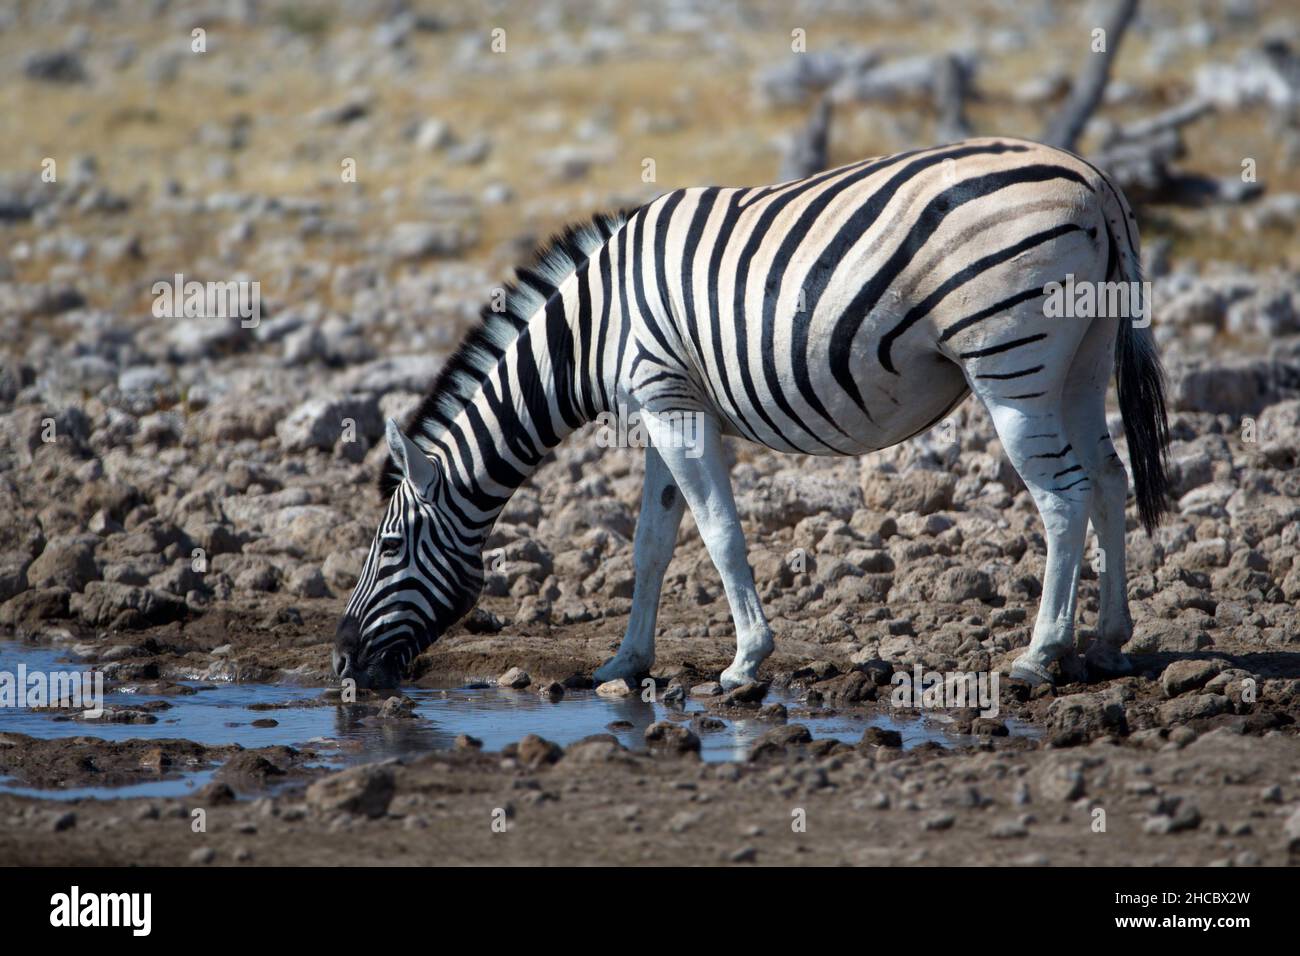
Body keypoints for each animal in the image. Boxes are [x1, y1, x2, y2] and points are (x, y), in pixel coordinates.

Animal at [332, 136, 1170, 697]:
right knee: (1107, 476)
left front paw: (744, 663)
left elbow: (718, 533)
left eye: (391, 544)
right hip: (1082, 356)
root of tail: (1095, 179)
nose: (340, 661)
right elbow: (651, 543)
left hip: (1009, 361)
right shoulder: (662, 407)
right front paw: (625, 663)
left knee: (1062, 495)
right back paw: (1108, 641)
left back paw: (1040, 654)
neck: (590, 331)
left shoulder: (669, 399)